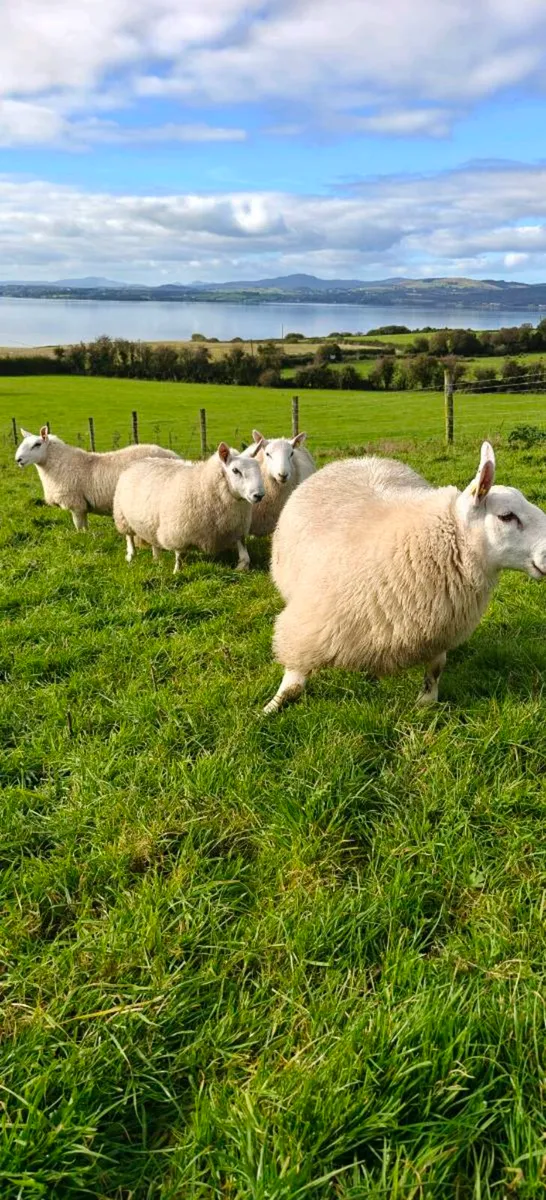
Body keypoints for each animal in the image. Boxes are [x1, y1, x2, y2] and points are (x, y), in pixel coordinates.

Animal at [15, 426, 179, 530]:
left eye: (37, 444)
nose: (18, 459)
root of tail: (174, 456)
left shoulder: (75, 503)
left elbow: (79, 527)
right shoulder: (82, 505)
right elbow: (84, 527)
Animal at [113, 441, 265, 574]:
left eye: (258, 468)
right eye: (235, 470)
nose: (259, 495)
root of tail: (139, 461)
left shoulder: (238, 527)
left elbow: (245, 554)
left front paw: (242, 567)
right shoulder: (178, 531)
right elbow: (179, 555)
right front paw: (177, 571)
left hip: (150, 522)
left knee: (154, 541)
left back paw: (157, 559)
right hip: (122, 516)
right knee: (129, 537)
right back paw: (131, 556)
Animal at [263, 442, 546, 713]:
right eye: (506, 516)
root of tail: (358, 459)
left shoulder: (437, 627)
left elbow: (435, 669)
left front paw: (426, 703)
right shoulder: (308, 624)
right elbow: (293, 683)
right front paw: (270, 708)